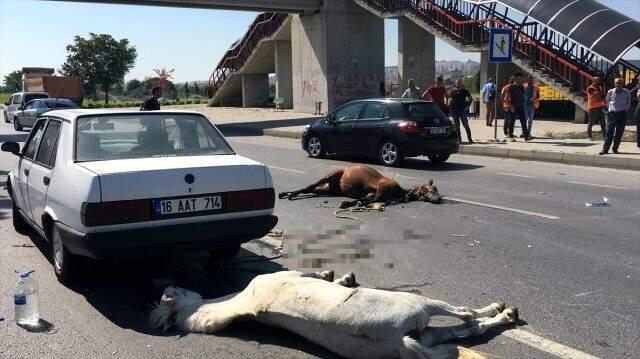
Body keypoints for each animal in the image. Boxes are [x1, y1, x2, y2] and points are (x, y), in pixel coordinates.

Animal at [278, 165, 442, 207]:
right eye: (430, 189)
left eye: (436, 189)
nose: (439, 198)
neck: (399, 191)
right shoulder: (381, 187)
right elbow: (373, 199)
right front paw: (347, 203)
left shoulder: (372, 193)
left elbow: (368, 199)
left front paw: (351, 202)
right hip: (332, 175)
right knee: (310, 186)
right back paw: (290, 195)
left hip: (331, 189)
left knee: (313, 190)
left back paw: (286, 193)